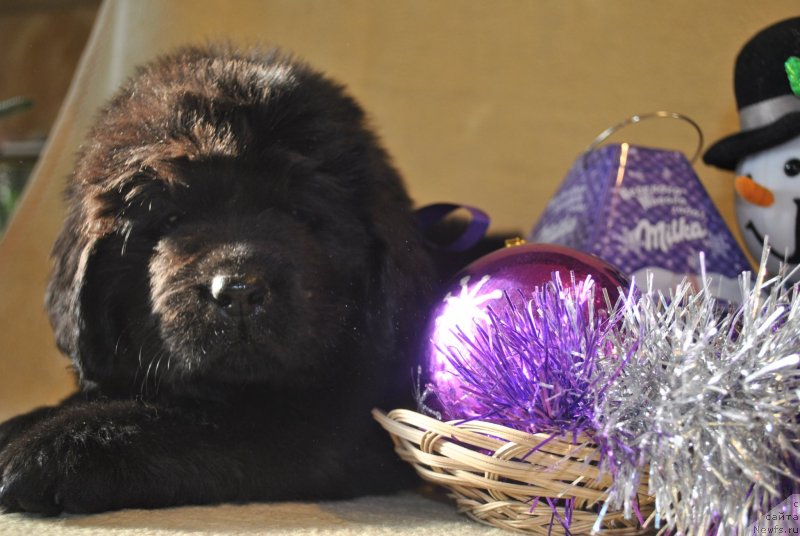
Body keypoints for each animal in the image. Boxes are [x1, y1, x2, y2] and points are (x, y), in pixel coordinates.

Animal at [0, 46, 434, 516]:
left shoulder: (322, 428)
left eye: (297, 214)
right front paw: (22, 424)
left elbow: (185, 423)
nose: (240, 292)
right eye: (171, 218)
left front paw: (51, 449)